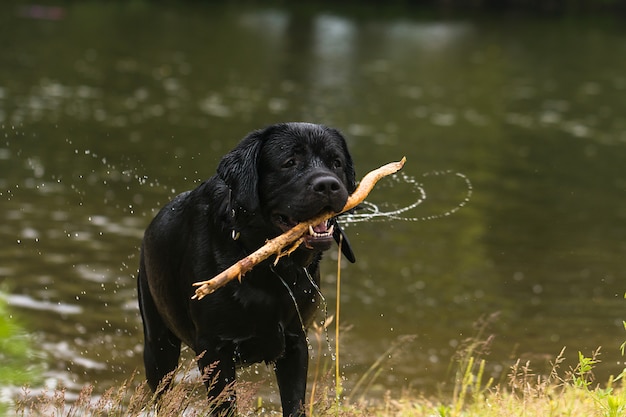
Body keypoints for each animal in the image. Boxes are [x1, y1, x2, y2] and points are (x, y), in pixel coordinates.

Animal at [136, 122, 354, 414]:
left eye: (336, 163)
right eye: (289, 162)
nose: (328, 184)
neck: (271, 271)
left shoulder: (296, 341)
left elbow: (294, 403)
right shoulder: (215, 350)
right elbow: (225, 407)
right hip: (158, 344)